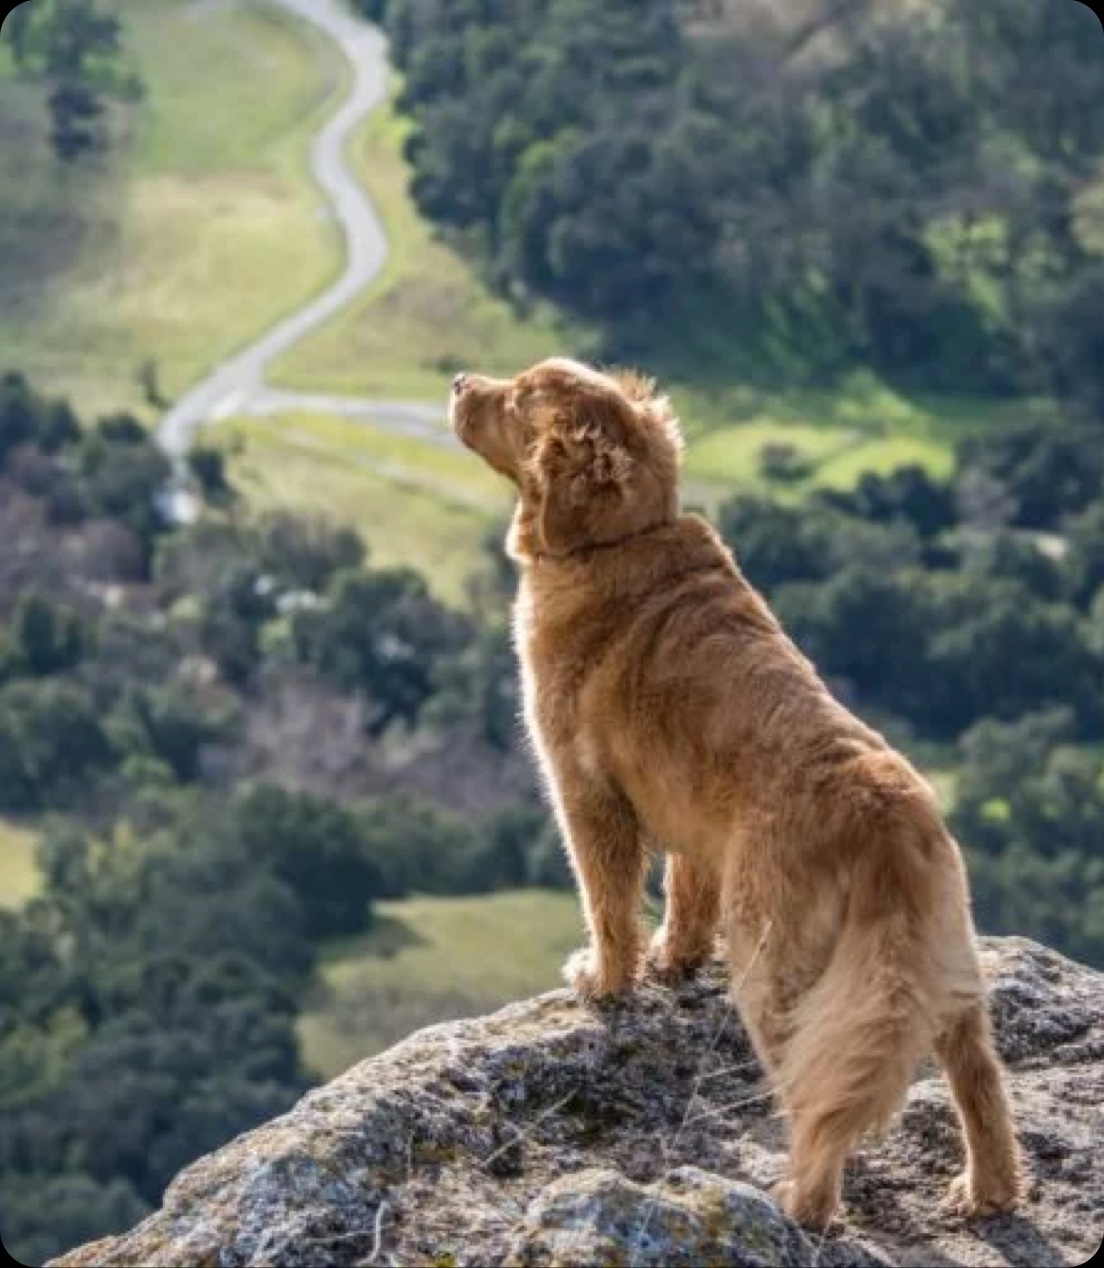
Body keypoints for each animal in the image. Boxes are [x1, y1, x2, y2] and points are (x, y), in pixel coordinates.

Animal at [446, 357, 1019, 1227]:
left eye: (515, 397)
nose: (456, 382)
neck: (620, 537)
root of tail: (886, 818)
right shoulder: (692, 818)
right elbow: (685, 897)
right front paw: (674, 960)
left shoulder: (587, 793)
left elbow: (608, 902)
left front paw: (605, 980)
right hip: (945, 965)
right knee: (979, 1080)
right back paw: (988, 1190)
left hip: (775, 964)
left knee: (822, 1097)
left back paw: (803, 1203)